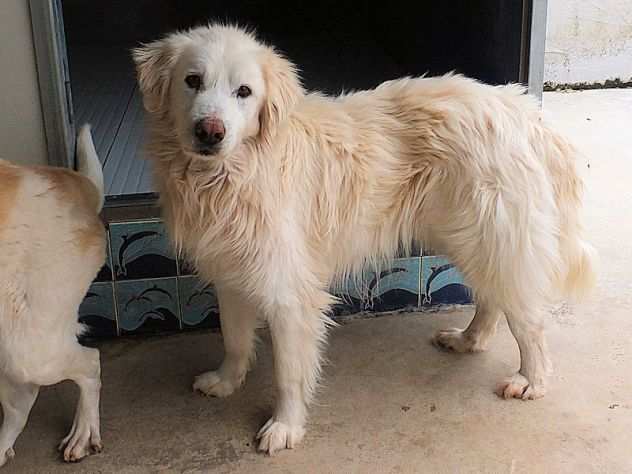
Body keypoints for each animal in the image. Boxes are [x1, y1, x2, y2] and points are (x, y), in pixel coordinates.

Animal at [133, 25, 596, 456]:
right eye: (192, 80)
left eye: (243, 92)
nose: (210, 131)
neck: (231, 175)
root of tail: (524, 110)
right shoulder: (230, 273)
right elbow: (234, 338)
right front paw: (226, 381)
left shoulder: (290, 295)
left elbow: (288, 374)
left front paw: (285, 427)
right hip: (471, 239)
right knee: (492, 298)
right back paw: (469, 340)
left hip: (493, 237)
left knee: (529, 322)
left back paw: (530, 380)